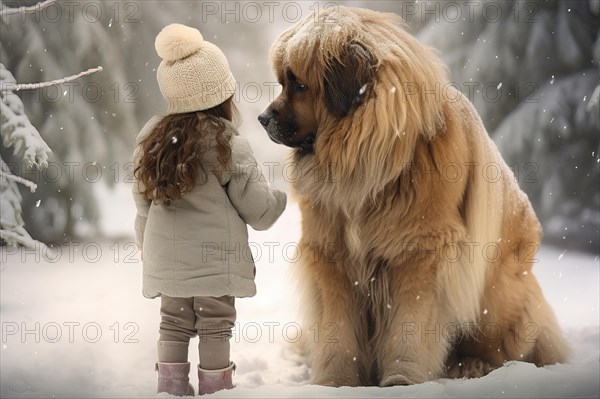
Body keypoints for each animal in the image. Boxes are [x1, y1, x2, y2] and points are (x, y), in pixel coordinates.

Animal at [258, 7, 568, 388]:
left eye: (299, 84)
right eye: (283, 82)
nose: (262, 118)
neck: (368, 163)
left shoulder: (420, 252)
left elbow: (411, 323)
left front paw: (401, 381)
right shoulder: (331, 253)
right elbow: (337, 325)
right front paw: (335, 382)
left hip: (495, 293)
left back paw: (471, 364)